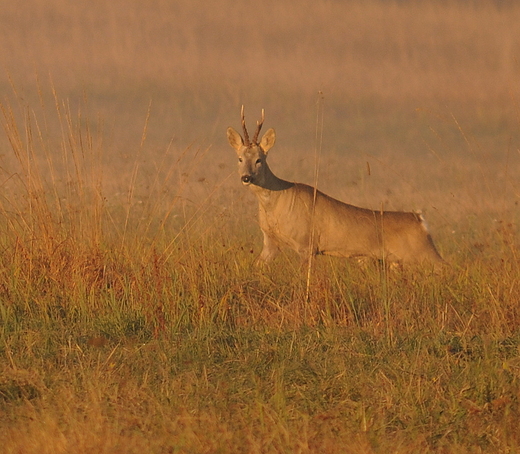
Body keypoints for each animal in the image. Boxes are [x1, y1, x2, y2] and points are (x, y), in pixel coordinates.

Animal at [225, 107, 444, 266]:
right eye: (239, 158)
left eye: (259, 160)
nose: (246, 177)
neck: (275, 204)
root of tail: (420, 220)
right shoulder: (270, 242)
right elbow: (256, 266)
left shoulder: (307, 245)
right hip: (397, 262)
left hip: (423, 253)